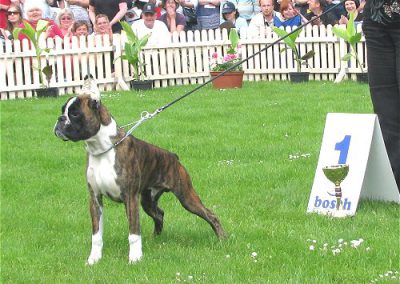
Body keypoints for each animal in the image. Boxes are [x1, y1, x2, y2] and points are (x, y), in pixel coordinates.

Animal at [54, 77, 225, 264]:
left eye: (75, 114)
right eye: (63, 111)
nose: (60, 119)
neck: (103, 149)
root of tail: (173, 156)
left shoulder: (130, 197)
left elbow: (134, 233)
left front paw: (135, 258)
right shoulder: (95, 199)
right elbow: (96, 235)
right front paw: (94, 259)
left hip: (186, 196)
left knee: (210, 215)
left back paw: (223, 239)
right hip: (148, 201)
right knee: (160, 214)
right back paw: (156, 238)